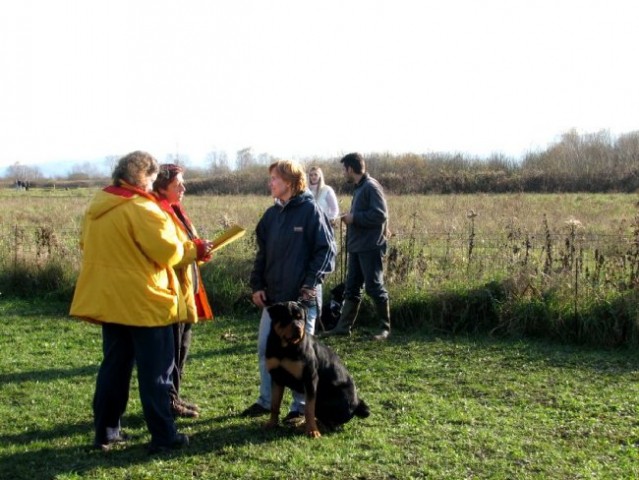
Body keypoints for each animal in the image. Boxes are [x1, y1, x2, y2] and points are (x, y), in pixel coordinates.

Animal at [262, 302, 370, 436]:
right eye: (286, 317)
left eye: (301, 318)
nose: (298, 328)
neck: (284, 348)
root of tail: (357, 405)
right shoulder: (277, 378)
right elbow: (275, 404)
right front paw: (272, 424)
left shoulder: (310, 378)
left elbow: (309, 409)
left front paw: (312, 431)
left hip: (323, 401)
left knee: (330, 424)